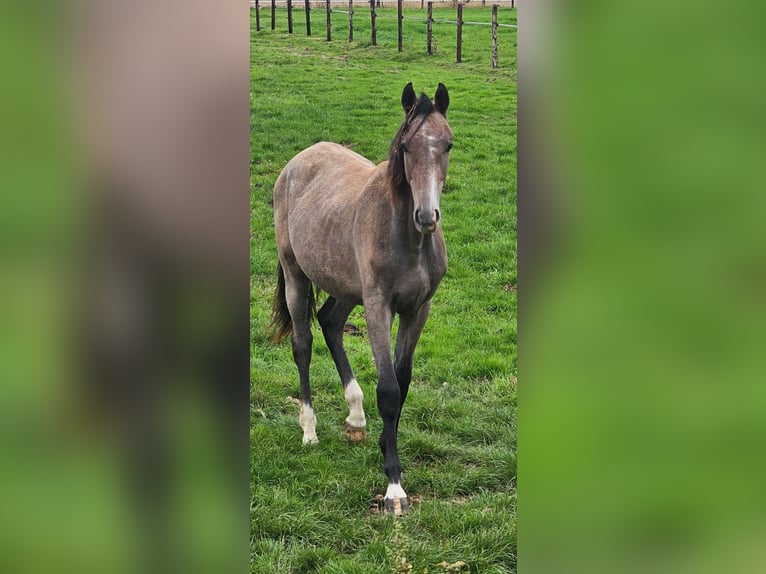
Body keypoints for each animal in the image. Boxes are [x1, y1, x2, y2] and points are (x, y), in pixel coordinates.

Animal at [270, 82, 453, 515]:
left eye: (448, 145)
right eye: (406, 146)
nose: (427, 217)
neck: (408, 239)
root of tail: (297, 161)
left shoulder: (418, 310)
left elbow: (403, 382)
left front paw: (387, 445)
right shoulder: (378, 307)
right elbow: (388, 390)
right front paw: (394, 486)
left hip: (344, 286)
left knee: (331, 322)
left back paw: (355, 416)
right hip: (297, 276)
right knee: (303, 344)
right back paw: (309, 430)